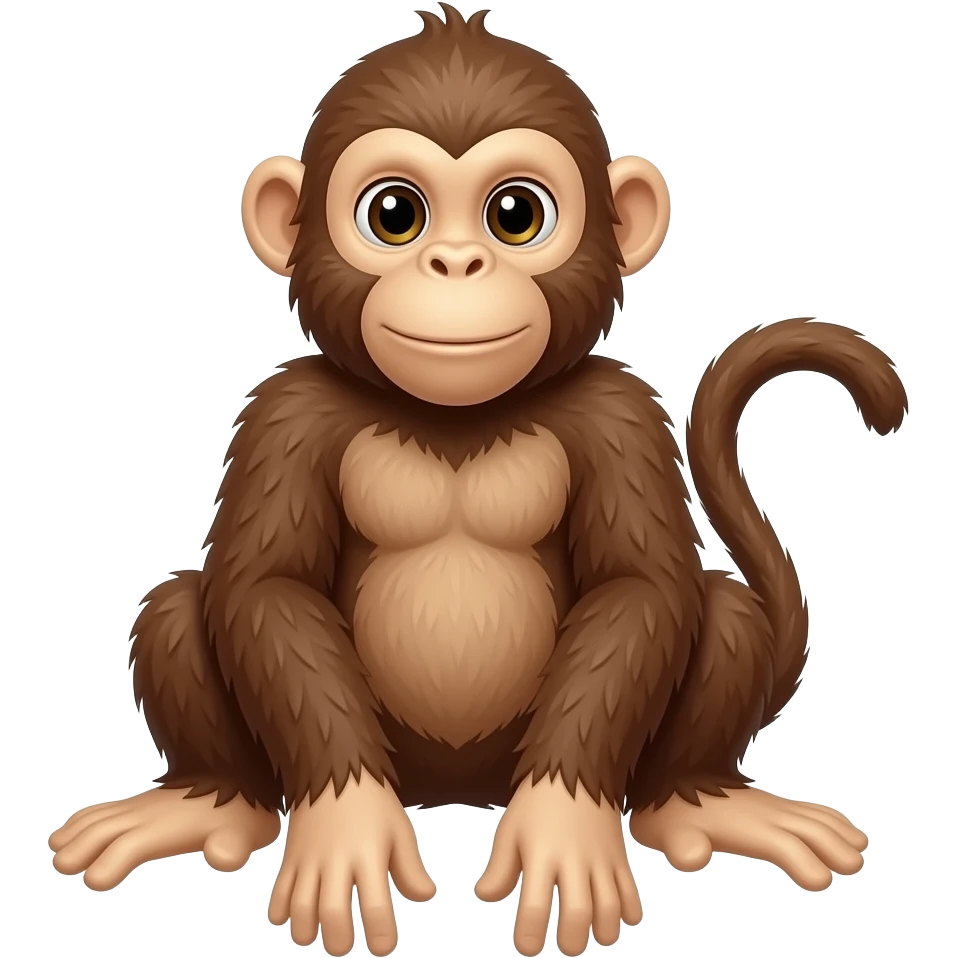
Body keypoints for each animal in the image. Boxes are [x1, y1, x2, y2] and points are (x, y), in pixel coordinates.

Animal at [48, 6, 908, 958]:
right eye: (394, 214)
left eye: (515, 215)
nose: (457, 264)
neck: (452, 416)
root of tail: (455, 789)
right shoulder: (286, 413)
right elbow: (268, 587)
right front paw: (346, 820)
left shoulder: (617, 414)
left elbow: (639, 588)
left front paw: (564, 822)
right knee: (173, 609)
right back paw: (212, 801)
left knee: (721, 612)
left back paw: (697, 800)